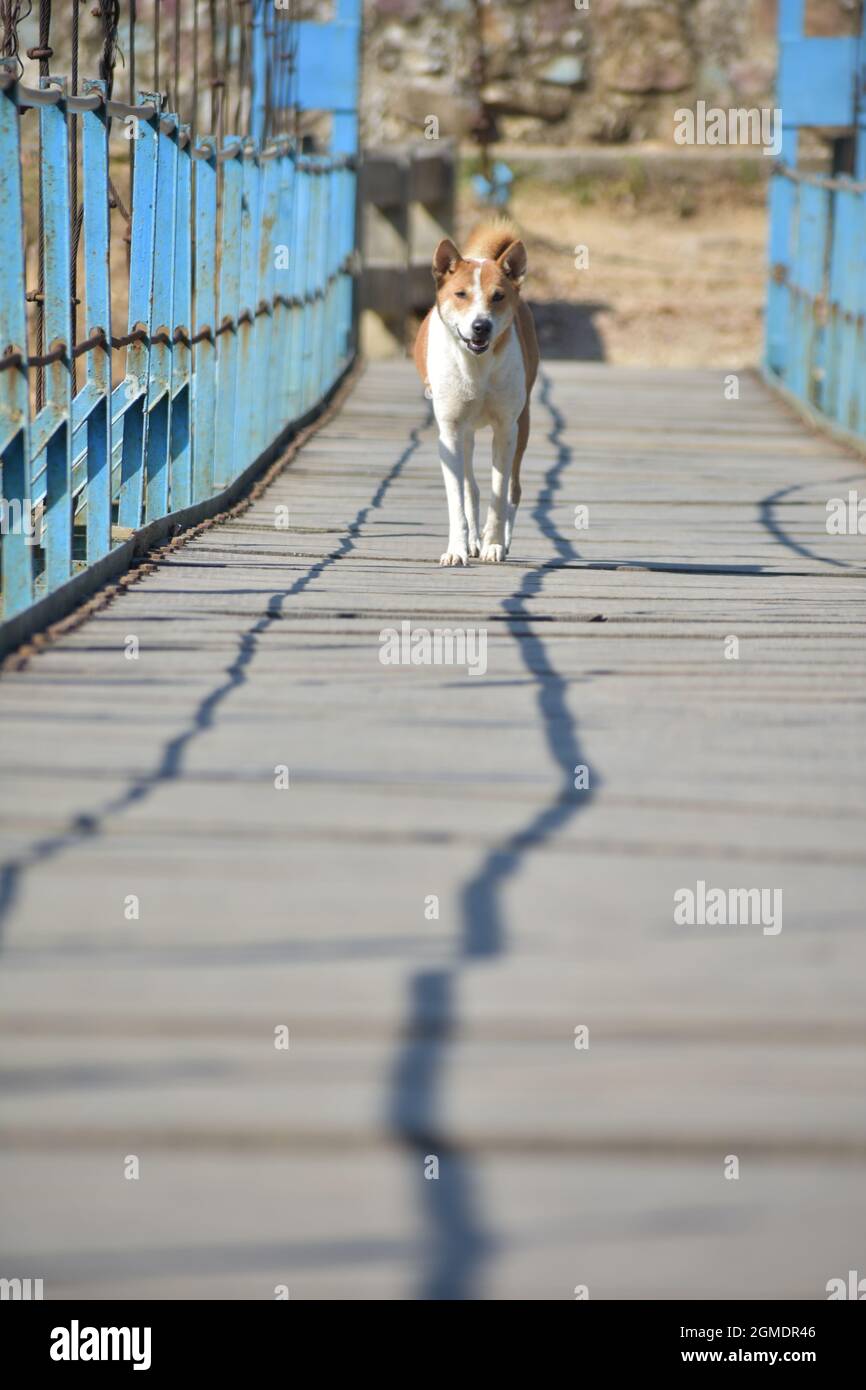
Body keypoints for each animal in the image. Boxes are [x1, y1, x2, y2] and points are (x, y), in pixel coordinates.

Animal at [411, 216, 536, 564]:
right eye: (461, 294)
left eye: (497, 296)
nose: (481, 326)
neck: (477, 366)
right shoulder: (450, 431)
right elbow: (457, 497)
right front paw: (457, 549)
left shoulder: (506, 429)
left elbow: (499, 491)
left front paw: (493, 544)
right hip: (464, 433)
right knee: (470, 488)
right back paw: (471, 543)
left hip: (523, 424)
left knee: (513, 489)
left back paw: (500, 542)